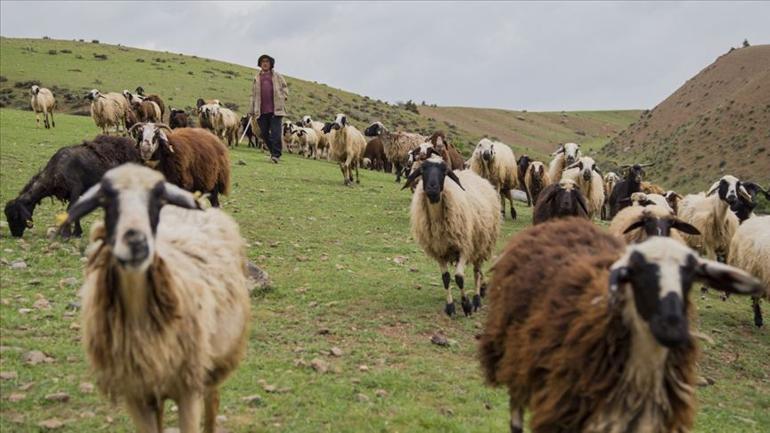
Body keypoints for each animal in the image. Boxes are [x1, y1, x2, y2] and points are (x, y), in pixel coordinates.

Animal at [4, 134, 140, 236]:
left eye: (15, 216)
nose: (15, 235)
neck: (54, 172)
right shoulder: (72, 194)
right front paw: (76, 233)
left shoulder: (76, 188)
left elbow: (71, 210)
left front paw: (67, 233)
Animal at [65, 164, 249, 432]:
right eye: (105, 199)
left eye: (157, 199)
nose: (136, 241)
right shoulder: (136, 393)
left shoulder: (188, 388)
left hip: (214, 361)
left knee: (212, 402)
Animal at [404, 154, 500, 316]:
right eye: (423, 170)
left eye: (444, 171)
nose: (432, 188)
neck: (437, 220)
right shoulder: (439, 251)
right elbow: (446, 278)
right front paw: (450, 307)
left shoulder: (465, 247)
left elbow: (459, 278)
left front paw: (466, 305)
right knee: (477, 271)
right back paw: (483, 288)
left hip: (482, 243)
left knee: (476, 271)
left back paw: (476, 299)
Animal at [480, 218, 760, 432]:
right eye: (636, 274)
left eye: (690, 276)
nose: (672, 328)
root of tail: (561, 222)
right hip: (514, 351)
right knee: (516, 406)